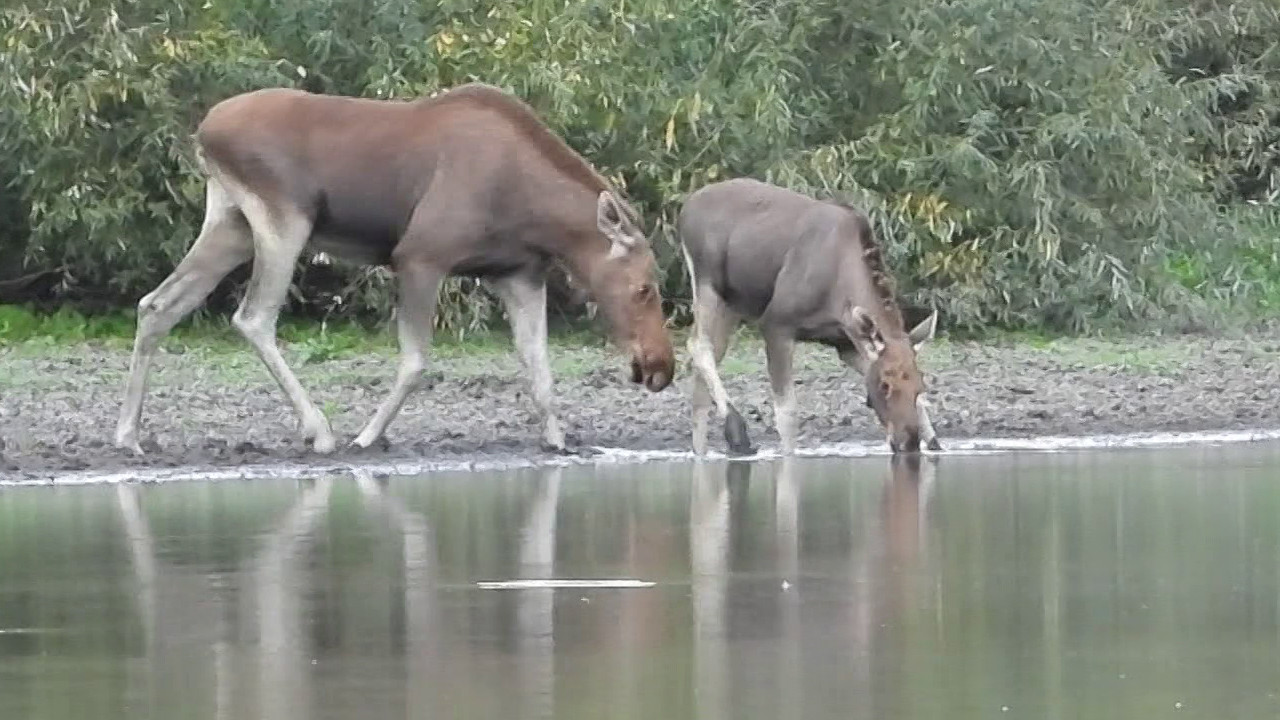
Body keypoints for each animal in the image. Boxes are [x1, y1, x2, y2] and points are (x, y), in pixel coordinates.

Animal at [115, 82, 675, 453]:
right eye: (645, 288)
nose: (661, 368)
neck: (538, 216)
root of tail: (204, 131)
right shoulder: (420, 256)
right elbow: (415, 361)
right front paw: (367, 435)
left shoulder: (517, 273)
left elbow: (538, 366)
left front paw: (559, 440)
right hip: (283, 220)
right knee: (253, 317)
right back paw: (320, 431)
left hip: (230, 222)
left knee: (157, 303)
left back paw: (128, 435)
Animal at [680, 178, 942, 453]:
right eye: (885, 385)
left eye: (920, 386)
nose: (907, 443)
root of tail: (685, 208)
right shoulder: (776, 324)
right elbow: (787, 414)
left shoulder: (846, 344)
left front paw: (934, 442)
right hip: (707, 284)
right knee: (698, 345)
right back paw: (737, 432)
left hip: (732, 303)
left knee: (706, 365)